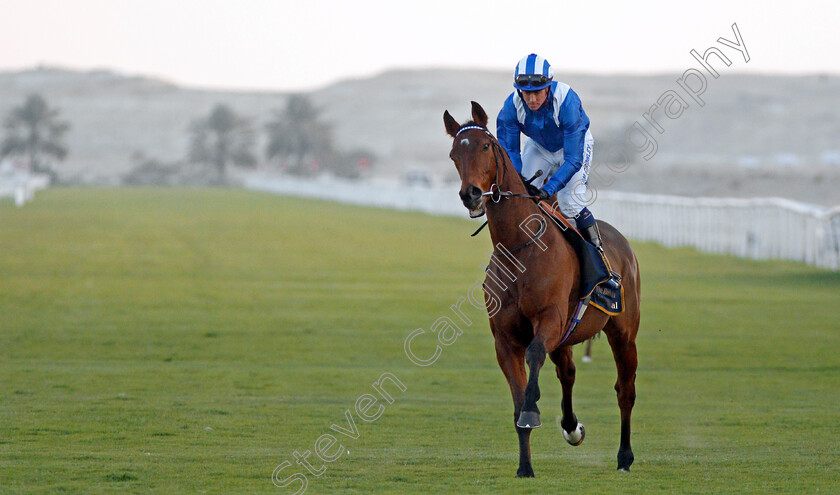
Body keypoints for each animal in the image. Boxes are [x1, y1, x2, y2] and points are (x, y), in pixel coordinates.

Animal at [442, 101, 640, 476]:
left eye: (486, 146)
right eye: (454, 154)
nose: (471, 194)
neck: (520, 248)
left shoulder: (549, 319)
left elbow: (534, 358)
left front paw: (533, 411)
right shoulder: (505, 339)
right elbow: (518, 401)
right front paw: (525, 466)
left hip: (623, 331)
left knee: (625, 389)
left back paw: (624, 457)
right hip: (567, 338)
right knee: (569, 372)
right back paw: (572, 427)